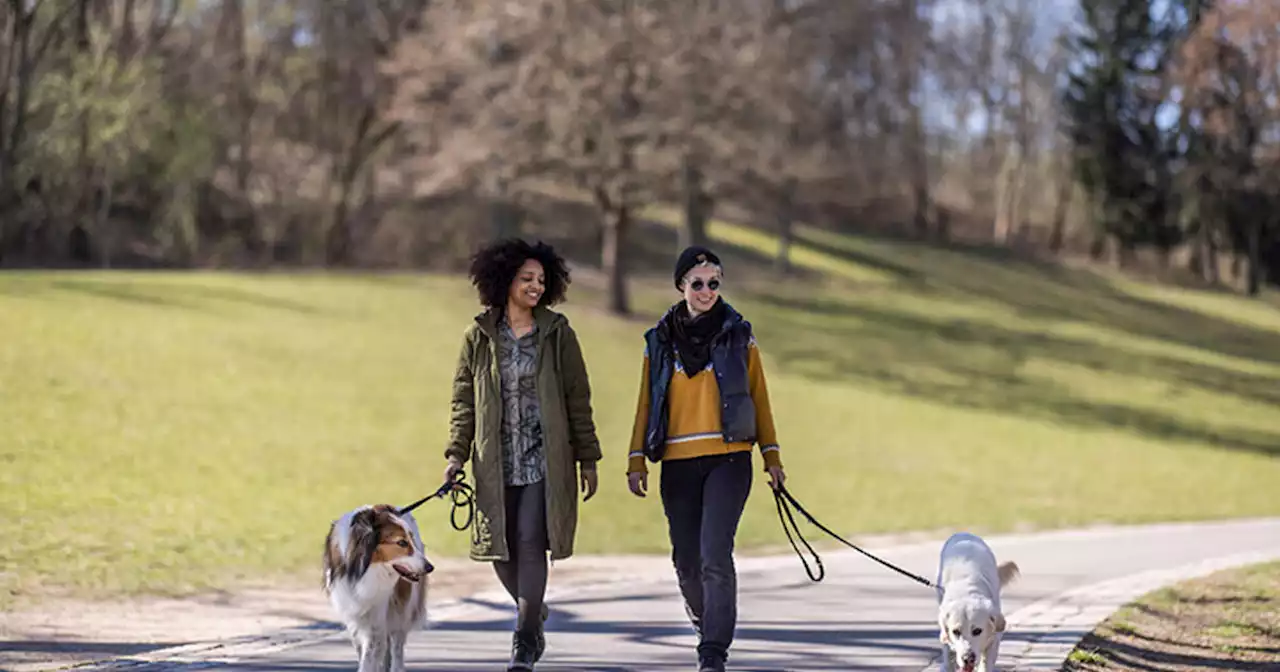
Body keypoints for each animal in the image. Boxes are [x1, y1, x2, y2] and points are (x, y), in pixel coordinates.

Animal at [322, 501, 432, 670]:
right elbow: (363, 650)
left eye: (411, 541)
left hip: (402, 607)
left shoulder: (378, 614)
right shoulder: (352, 613)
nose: (430, 568)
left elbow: (372, 652)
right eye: (401, 542)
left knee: (397, 645)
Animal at [936, 532, 1013, 665]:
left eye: (977, 631)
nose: (968, 658)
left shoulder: (994, 640)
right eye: (956, 632)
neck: (966, 591)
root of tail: (963, 532)